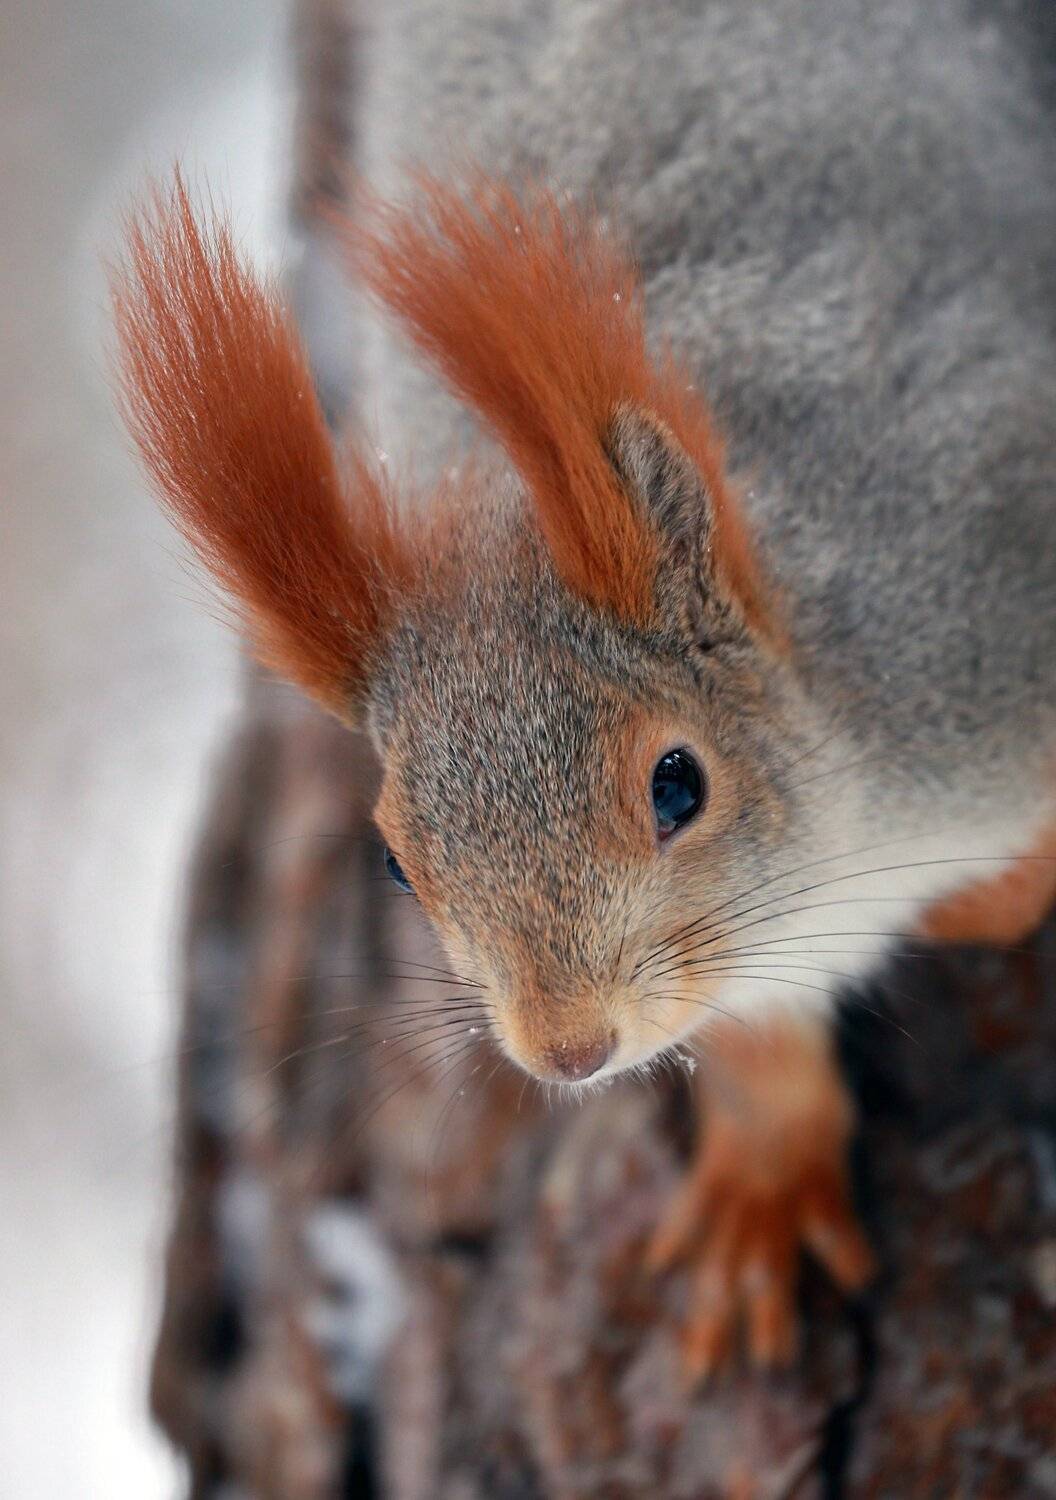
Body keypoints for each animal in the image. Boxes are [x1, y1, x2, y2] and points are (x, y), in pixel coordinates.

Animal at [111, 0, 1056, 1380]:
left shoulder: (979, 645)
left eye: (679, 784)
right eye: (395, 860)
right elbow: (753, 1041)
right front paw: (764, 1182)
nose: (569, 1050)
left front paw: (982, 900)